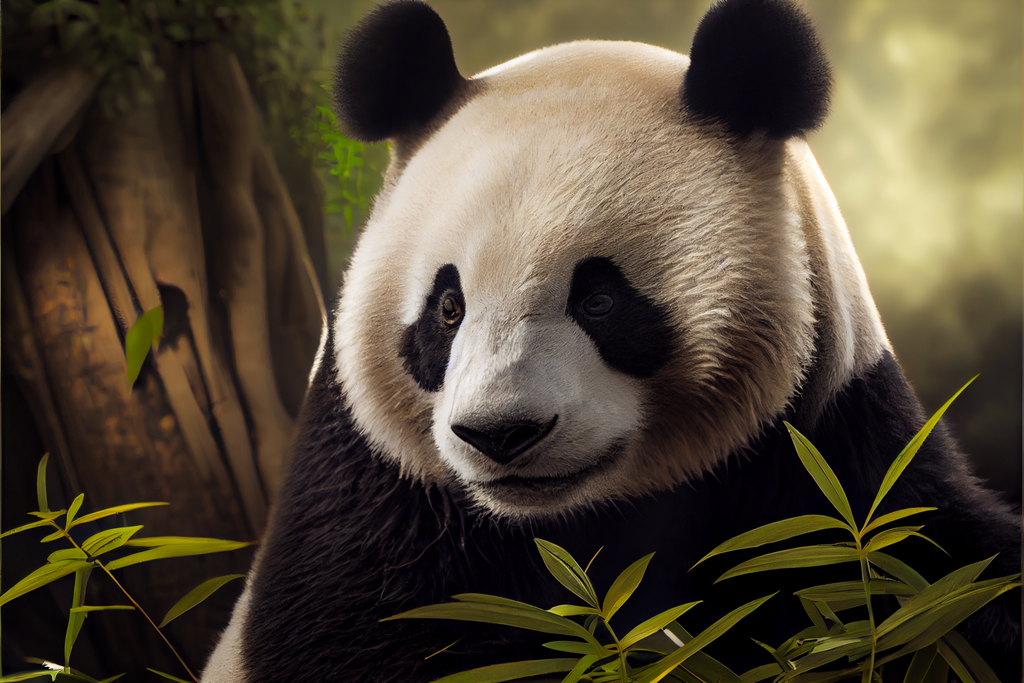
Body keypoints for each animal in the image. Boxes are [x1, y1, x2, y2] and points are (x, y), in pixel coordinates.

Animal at [202, 0, 1021, 681]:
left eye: (599, 299)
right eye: (447, 307)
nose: (501, 433)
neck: (573, 517)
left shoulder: (823, 441)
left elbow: (926, 571)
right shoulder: (378, 485)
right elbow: (371, 632)